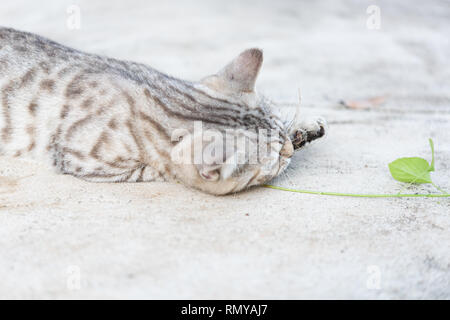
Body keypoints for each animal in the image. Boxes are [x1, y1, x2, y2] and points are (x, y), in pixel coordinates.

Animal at [0, 27, 324, 194]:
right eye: (275, 161)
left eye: (282, 140)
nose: (288, 151)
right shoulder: (84, 161)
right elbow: (159, 170)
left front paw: (302, 131)